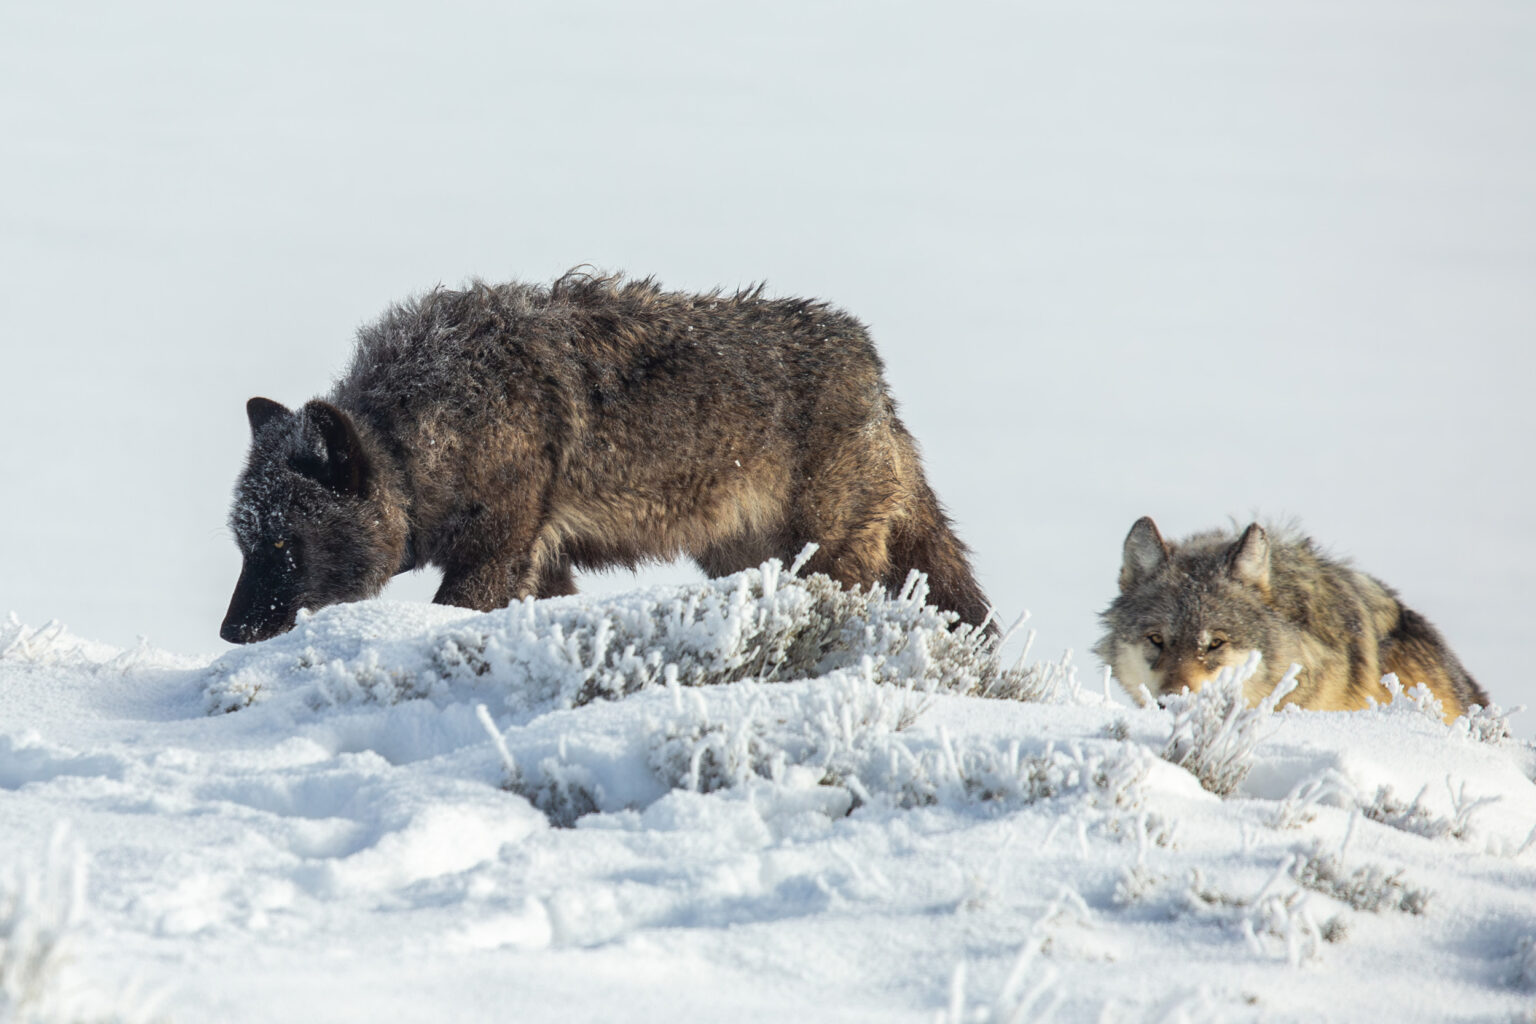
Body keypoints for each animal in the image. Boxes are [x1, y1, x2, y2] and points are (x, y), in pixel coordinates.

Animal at [220, 272, 992, 644]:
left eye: (286, 543)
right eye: (246, 545)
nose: (231, 633)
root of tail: (875, 374)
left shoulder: (493, 556)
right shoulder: (540, 564)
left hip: (822, 559)